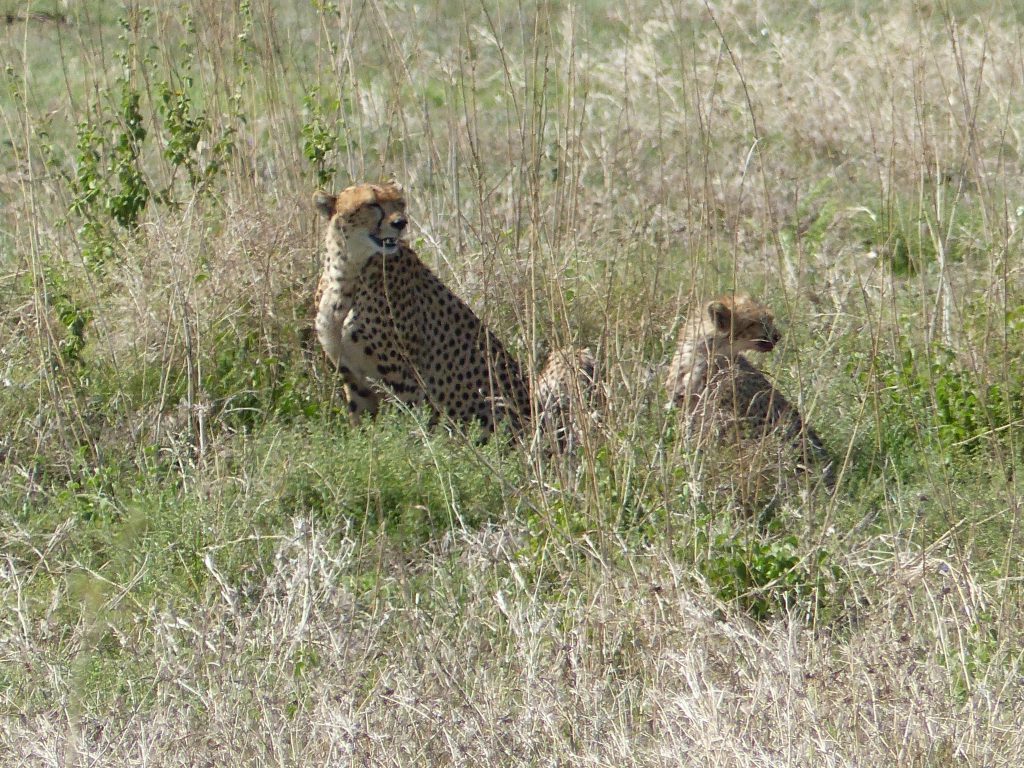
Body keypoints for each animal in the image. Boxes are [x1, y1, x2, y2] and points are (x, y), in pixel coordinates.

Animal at [311, 182, 528, 436]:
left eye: (400, 203)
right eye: (372, 204)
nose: (400, 222)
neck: (346, 271)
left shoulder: (404, 379)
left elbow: (406, 426)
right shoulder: (352, 377)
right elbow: (361, 426)